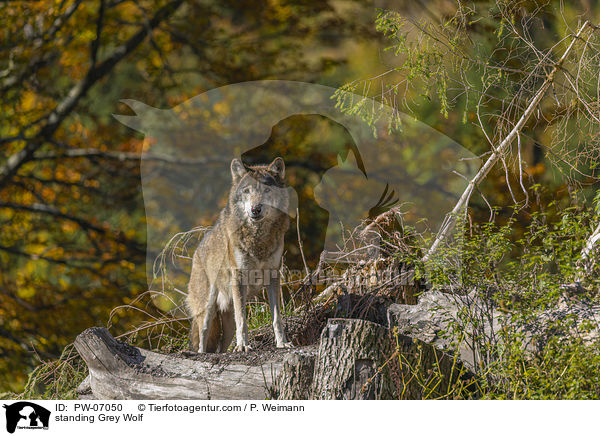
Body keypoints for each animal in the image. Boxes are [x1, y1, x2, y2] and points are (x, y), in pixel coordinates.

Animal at [186, 158, 292, 352]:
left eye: (266, 190)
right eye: (247, 191)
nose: (255, 209)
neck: (258, 238)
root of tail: (196, 253)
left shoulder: (273, 276)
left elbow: (276, 318)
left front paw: (282, 343)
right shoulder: (239, 277)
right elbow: (243, 320)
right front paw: (243, 346)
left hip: (227, 323)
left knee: (221, 346)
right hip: (208, 310)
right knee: (203, 336)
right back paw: (202, 353)